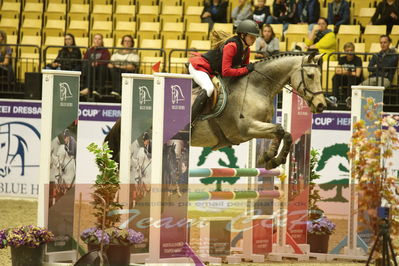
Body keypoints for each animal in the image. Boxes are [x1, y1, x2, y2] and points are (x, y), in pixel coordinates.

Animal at [104, 52, 326, 169]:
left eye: (320, 76)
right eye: (310, 75)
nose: (322, 105)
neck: (257, 86)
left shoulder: (259, 126)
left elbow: (284, 133)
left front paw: (272, 160)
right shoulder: (245, 129)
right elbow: (280, 130)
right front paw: (269, 158)